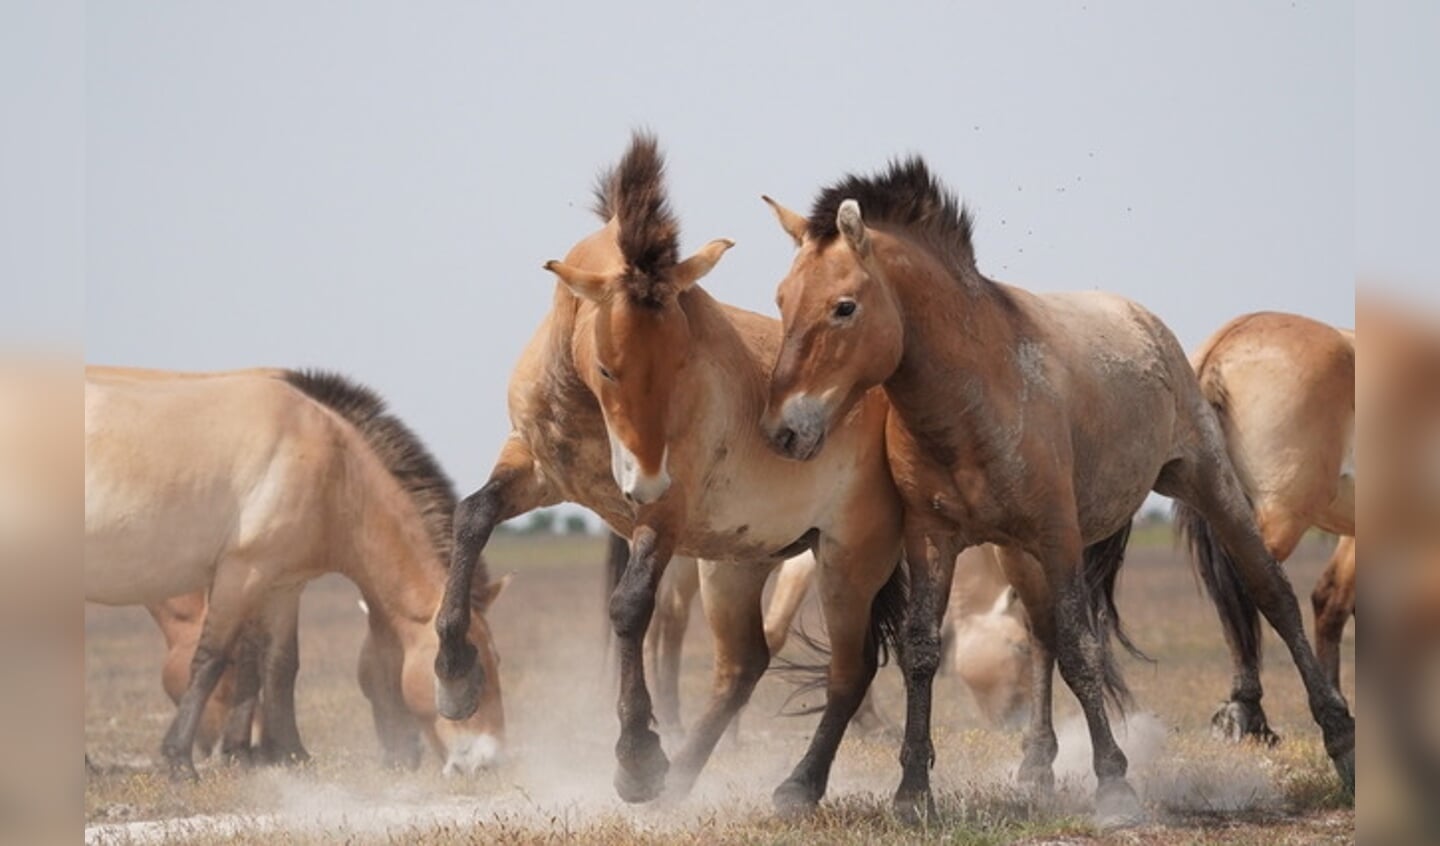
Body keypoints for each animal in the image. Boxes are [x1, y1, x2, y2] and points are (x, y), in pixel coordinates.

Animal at [84, 366, 509, 776]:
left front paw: (289, 757)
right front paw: (180, 762)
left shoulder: (282, 587)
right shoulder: (241, 575)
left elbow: (280, 665)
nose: (488, 763)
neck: (332, 469)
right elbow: (210, 661)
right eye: (475, 669)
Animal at [432, 133, 904, 811]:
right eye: (607, 367)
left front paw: (635, 759)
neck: (585, 408)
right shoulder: (534, 468)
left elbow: (630, 608)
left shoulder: (664, 518)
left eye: (683, 360)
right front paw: (454, 676)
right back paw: (682, 778)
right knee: (744, 665)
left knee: (851, 667)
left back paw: (790, 785)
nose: (646, 480)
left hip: (847, 559)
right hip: (738, 562)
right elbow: (472, 517)